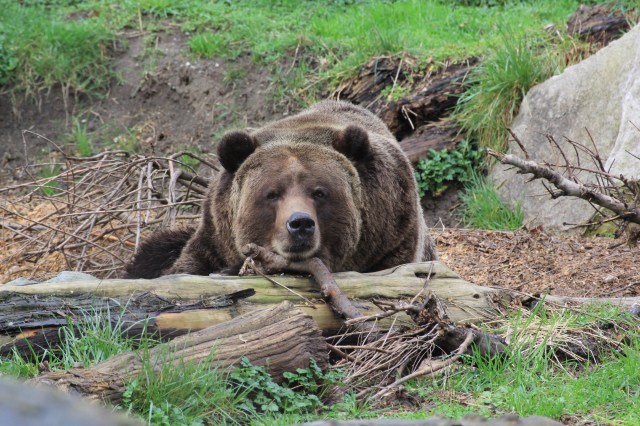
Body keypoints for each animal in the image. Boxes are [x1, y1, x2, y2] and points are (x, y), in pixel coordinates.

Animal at [124, 100, 436, 279]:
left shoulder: (391, 231)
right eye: (272, 194)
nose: (300, 224)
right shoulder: (216, 236)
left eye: (319, 192)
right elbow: (182, 267)